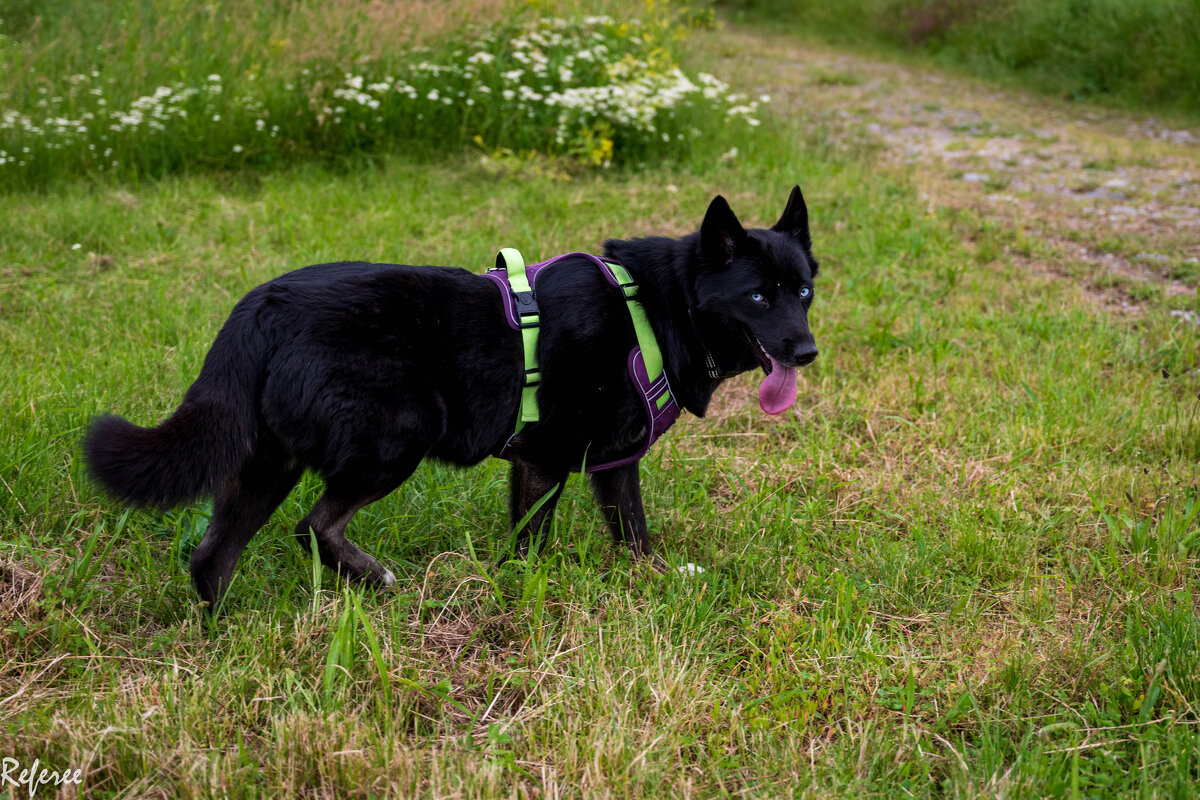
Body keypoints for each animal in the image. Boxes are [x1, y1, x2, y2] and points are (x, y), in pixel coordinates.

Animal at [82, 188, 816, 609]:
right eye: (758, 296)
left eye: (804, 290)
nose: (808, 352)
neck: (659, 306)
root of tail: (262, 305)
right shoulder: (547, 460)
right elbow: (534, 546)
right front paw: (527, 600)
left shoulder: (607, 467)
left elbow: (632, 536)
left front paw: (651, 582)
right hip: (398, 436)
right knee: (314, 527)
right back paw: (375, 581)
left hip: (267, 463)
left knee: (212, 556)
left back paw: (222, 638)